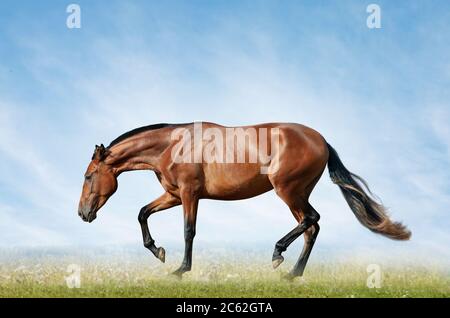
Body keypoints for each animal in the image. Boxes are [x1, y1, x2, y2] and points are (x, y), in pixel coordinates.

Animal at [78, 121, 412, 278]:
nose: (83, 213)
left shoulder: (189, 194)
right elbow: (142, 213)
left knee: (312, 220)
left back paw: (279, 255)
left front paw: (181, 270)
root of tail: (322, 141)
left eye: (88, 175)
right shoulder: (173, 194)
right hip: (296, 193)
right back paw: (293, 274)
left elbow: (189, 231)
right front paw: (158, 251)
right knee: (312, 228)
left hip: (289, 191)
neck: (173, 146)